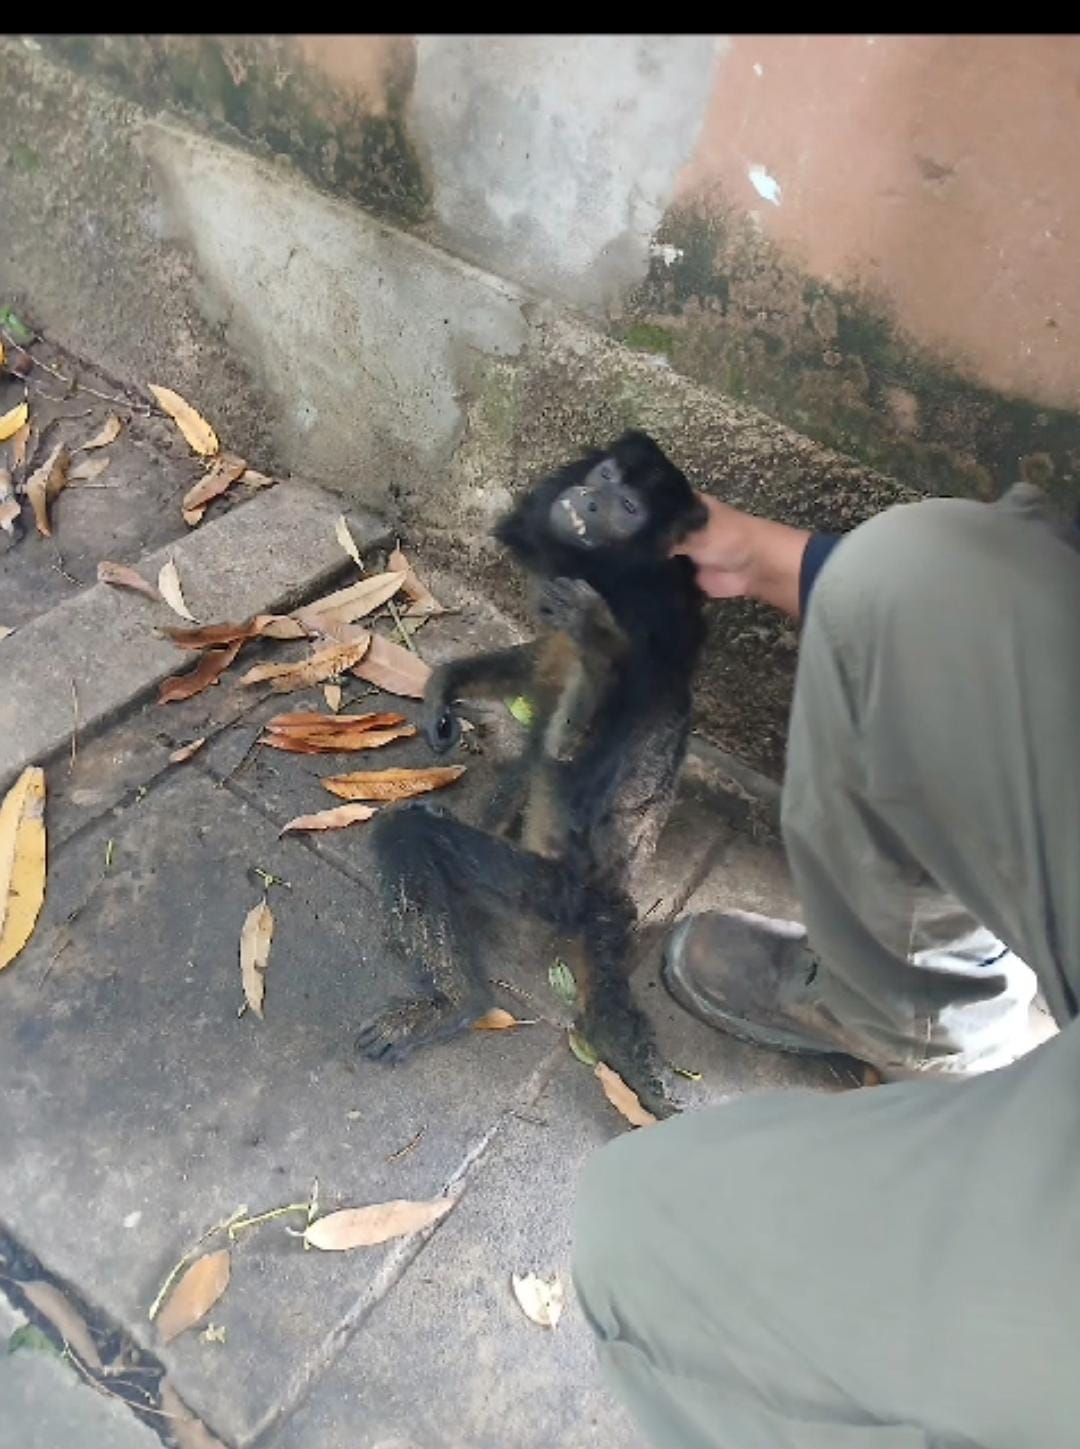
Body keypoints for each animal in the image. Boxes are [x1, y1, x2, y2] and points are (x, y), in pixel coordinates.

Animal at [355, 431, 708, 1115]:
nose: (591, 500)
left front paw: (594, 648)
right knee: (526, 763)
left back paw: (455, 1003)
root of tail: (611, 903)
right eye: (606, 477)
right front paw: (444, 687)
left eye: (628, 508)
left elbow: (576, 750)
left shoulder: (643, 630)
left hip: (553, 897)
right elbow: (534, 674)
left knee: (420, 835)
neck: (617, 578)